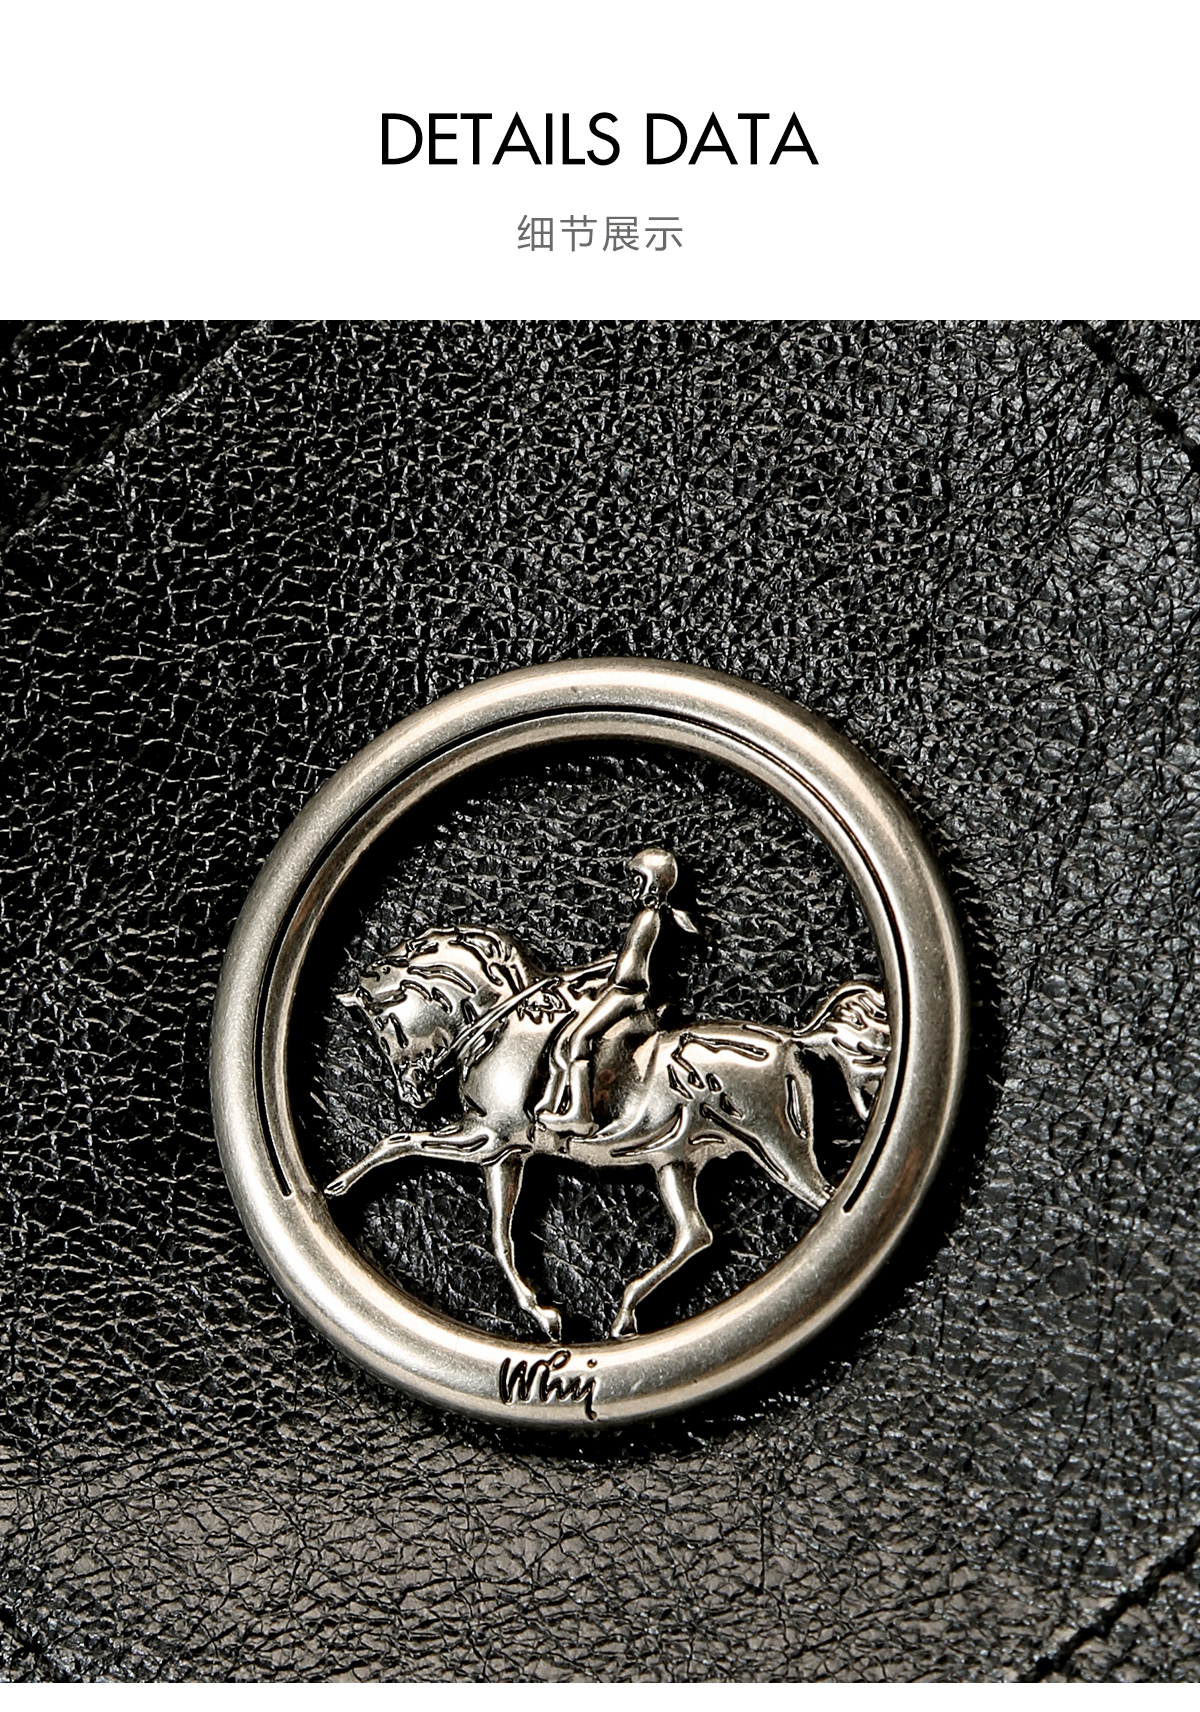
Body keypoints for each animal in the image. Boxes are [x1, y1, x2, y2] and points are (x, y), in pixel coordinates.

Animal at [326, 925, 889, 1339]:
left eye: (386, 1025)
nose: (413, 1093)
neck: (500, 1025)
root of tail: (794, 1040)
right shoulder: (503, 1156)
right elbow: (501, 1237)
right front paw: (546, 1317)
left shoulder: (486, 1138)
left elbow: (398, 1143)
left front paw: (338, 1185)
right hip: (675, 1163)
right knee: (695, 1234)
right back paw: (623, 1316)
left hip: (779, 1149)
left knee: (825, 1201)